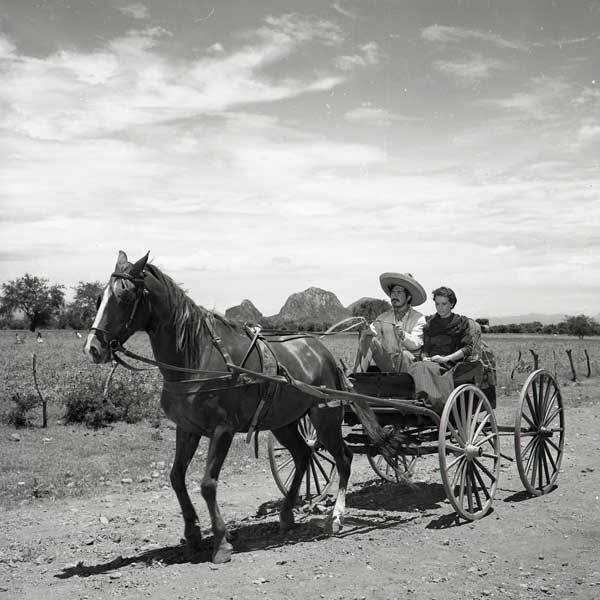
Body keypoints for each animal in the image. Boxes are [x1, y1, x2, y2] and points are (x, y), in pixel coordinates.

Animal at [86, 251, 354, 564]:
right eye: (99, 298)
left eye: (126, 296)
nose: (93, 348)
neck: (196, 358)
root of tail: (323, 351)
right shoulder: (187, 429)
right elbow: (176, 477)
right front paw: (192, 533)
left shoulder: (222, 429)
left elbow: (207, 484)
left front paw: (221, 542)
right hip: (284, 422)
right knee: (302, 456)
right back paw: (287, 515)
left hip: (325, 417)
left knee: (344, 459)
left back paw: (336, 517)